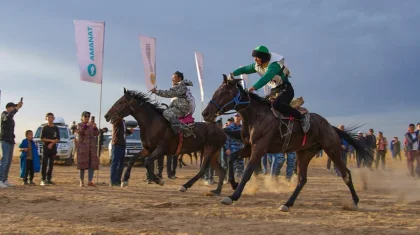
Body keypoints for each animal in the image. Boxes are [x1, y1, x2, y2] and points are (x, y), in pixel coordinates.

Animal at [202, 75, 372, 211]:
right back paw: (287, 203)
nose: (205, 113)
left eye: (223, 92)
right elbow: (231, 158)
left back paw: (355, 201)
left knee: (346, 174)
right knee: (302, 179)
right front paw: (233, 183)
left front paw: (233, 196)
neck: (256, 116)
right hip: (304, 153)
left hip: (332, 149)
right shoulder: (249, 148)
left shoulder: (259, 149)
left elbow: (247, 172)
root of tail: (330, 126)